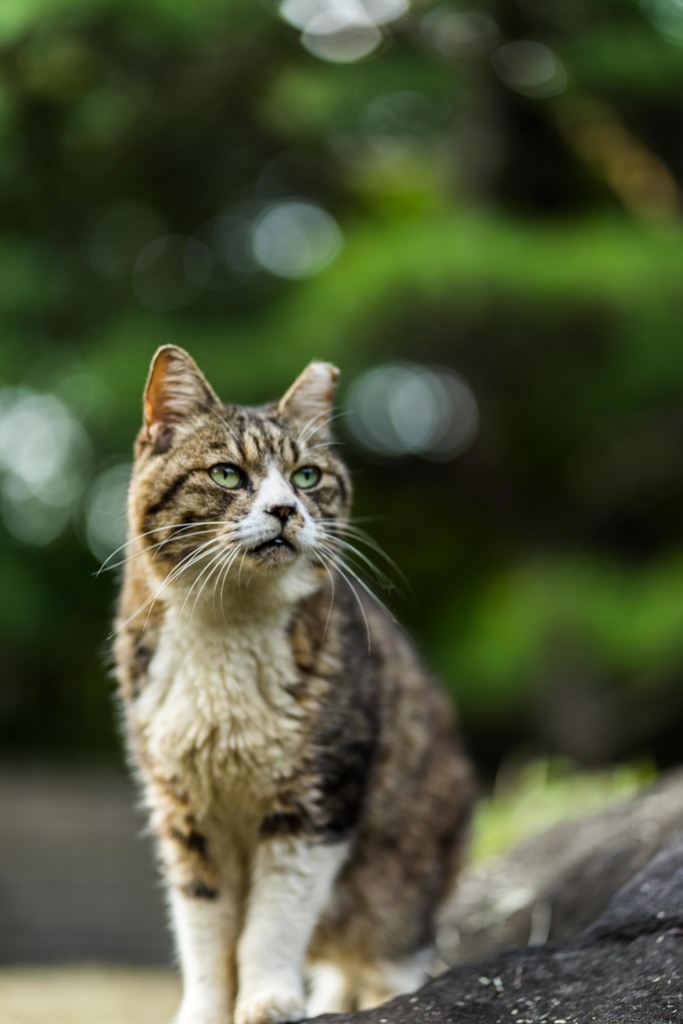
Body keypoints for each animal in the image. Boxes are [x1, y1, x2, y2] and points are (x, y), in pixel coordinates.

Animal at [113, 346, 475, 1024]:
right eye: (227, 475)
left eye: (307, 477)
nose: (285, 510)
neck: (229, 629)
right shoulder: (185, 812)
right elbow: (205, 932)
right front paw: (207, 1011)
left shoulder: (317, 799)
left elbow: (273, 921)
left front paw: (269, 1001)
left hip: (401, 884)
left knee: (389, 958)